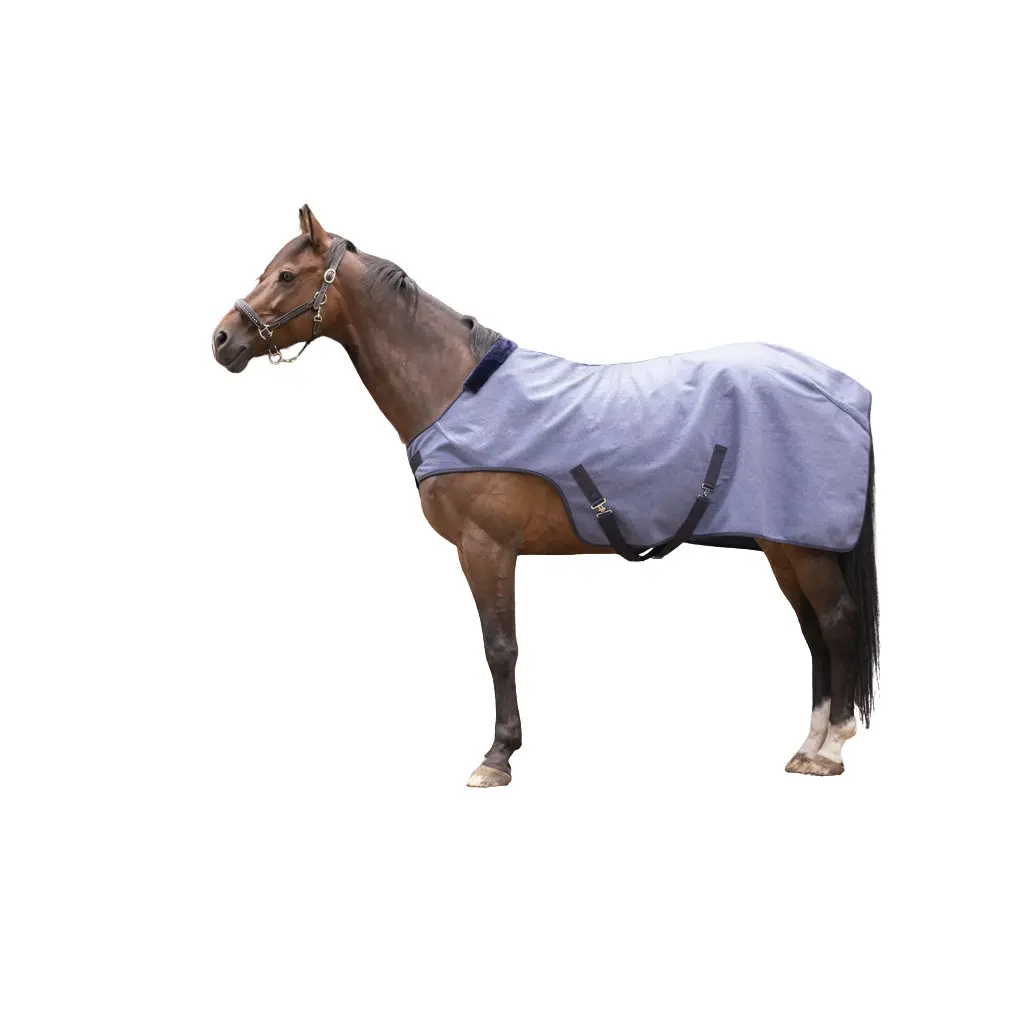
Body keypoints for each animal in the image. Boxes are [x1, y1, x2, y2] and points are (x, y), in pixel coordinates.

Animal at [212, 205, 879, 786]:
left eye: (287, 276)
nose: (222, 339)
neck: (454, 390)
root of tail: (847, 391)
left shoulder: (485, 548)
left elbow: (499, 648)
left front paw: (497, 756)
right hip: (785, 546)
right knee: (814, 631)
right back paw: (808, 745)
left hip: (803, 546)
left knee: (838, 622)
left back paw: (830, 750)